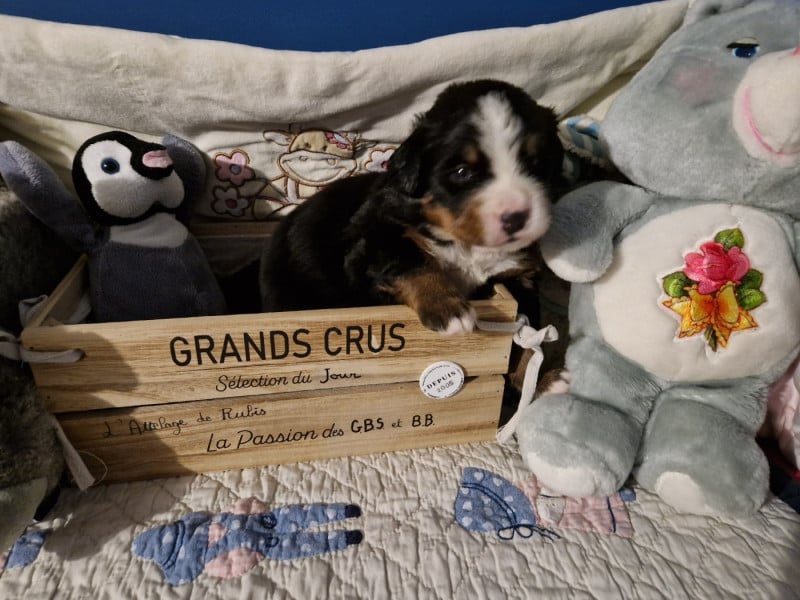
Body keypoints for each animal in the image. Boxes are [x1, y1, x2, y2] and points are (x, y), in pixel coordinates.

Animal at [259, 79, 564, 334]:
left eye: (535, 163)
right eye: (463, 172)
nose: (516, 218)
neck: (467, 245)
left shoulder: (519, 277)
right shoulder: (373, 237)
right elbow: (410, 260)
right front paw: (449, 310)